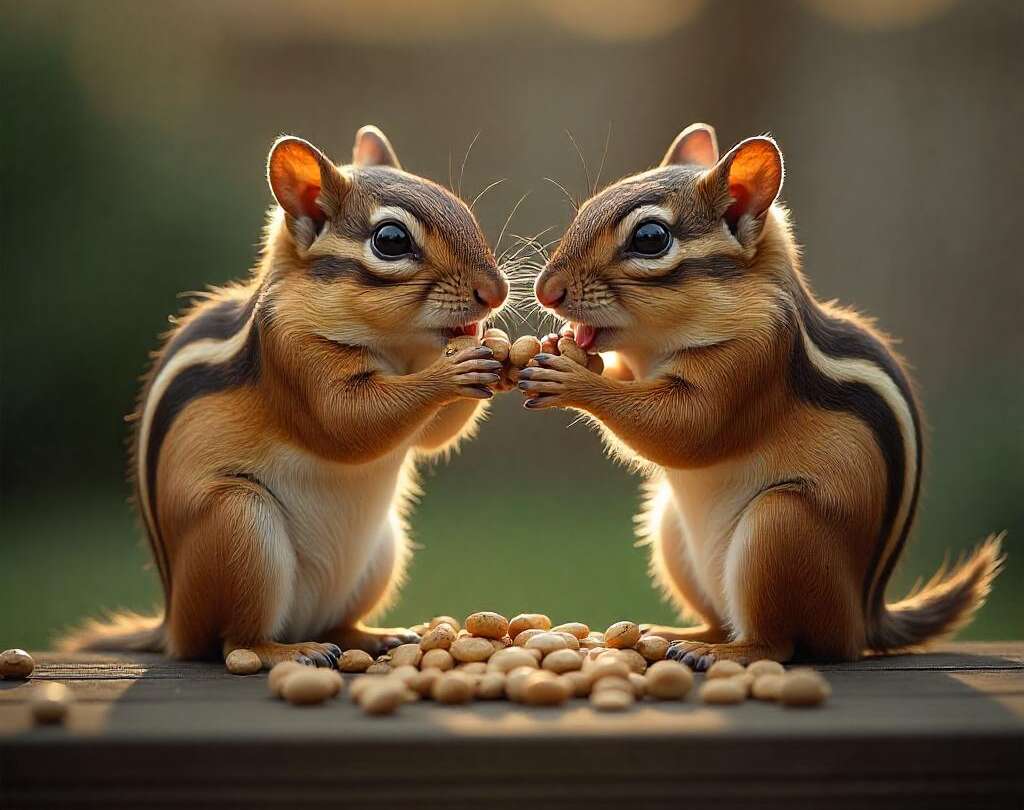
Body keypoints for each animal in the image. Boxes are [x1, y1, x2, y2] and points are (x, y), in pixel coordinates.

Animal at [61, 126, 508, 667]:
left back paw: (376, 636)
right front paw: (454, 369)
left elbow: (432, 437)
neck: (397, 349)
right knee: (233, 641)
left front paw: (492, 345)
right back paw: (290, 651)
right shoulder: (289, 353)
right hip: (239, 527)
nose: (496, 292)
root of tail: (172, 625)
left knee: (336, 622)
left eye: (464, 210)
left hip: (383, 550)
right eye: (391, 240)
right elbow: (348, 422)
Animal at [520, 123, 1004, 669]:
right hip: (670, 531)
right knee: (720, 619)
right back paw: (672, 632)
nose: (546, 291)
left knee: (780, 642)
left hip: (782, 528)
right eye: (584, 210)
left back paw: (720, 651)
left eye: (650, 238)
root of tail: (863, 621)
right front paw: (564, 348)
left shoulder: (754, 361)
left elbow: (686, 428)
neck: (658, 346)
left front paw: (571, 378)